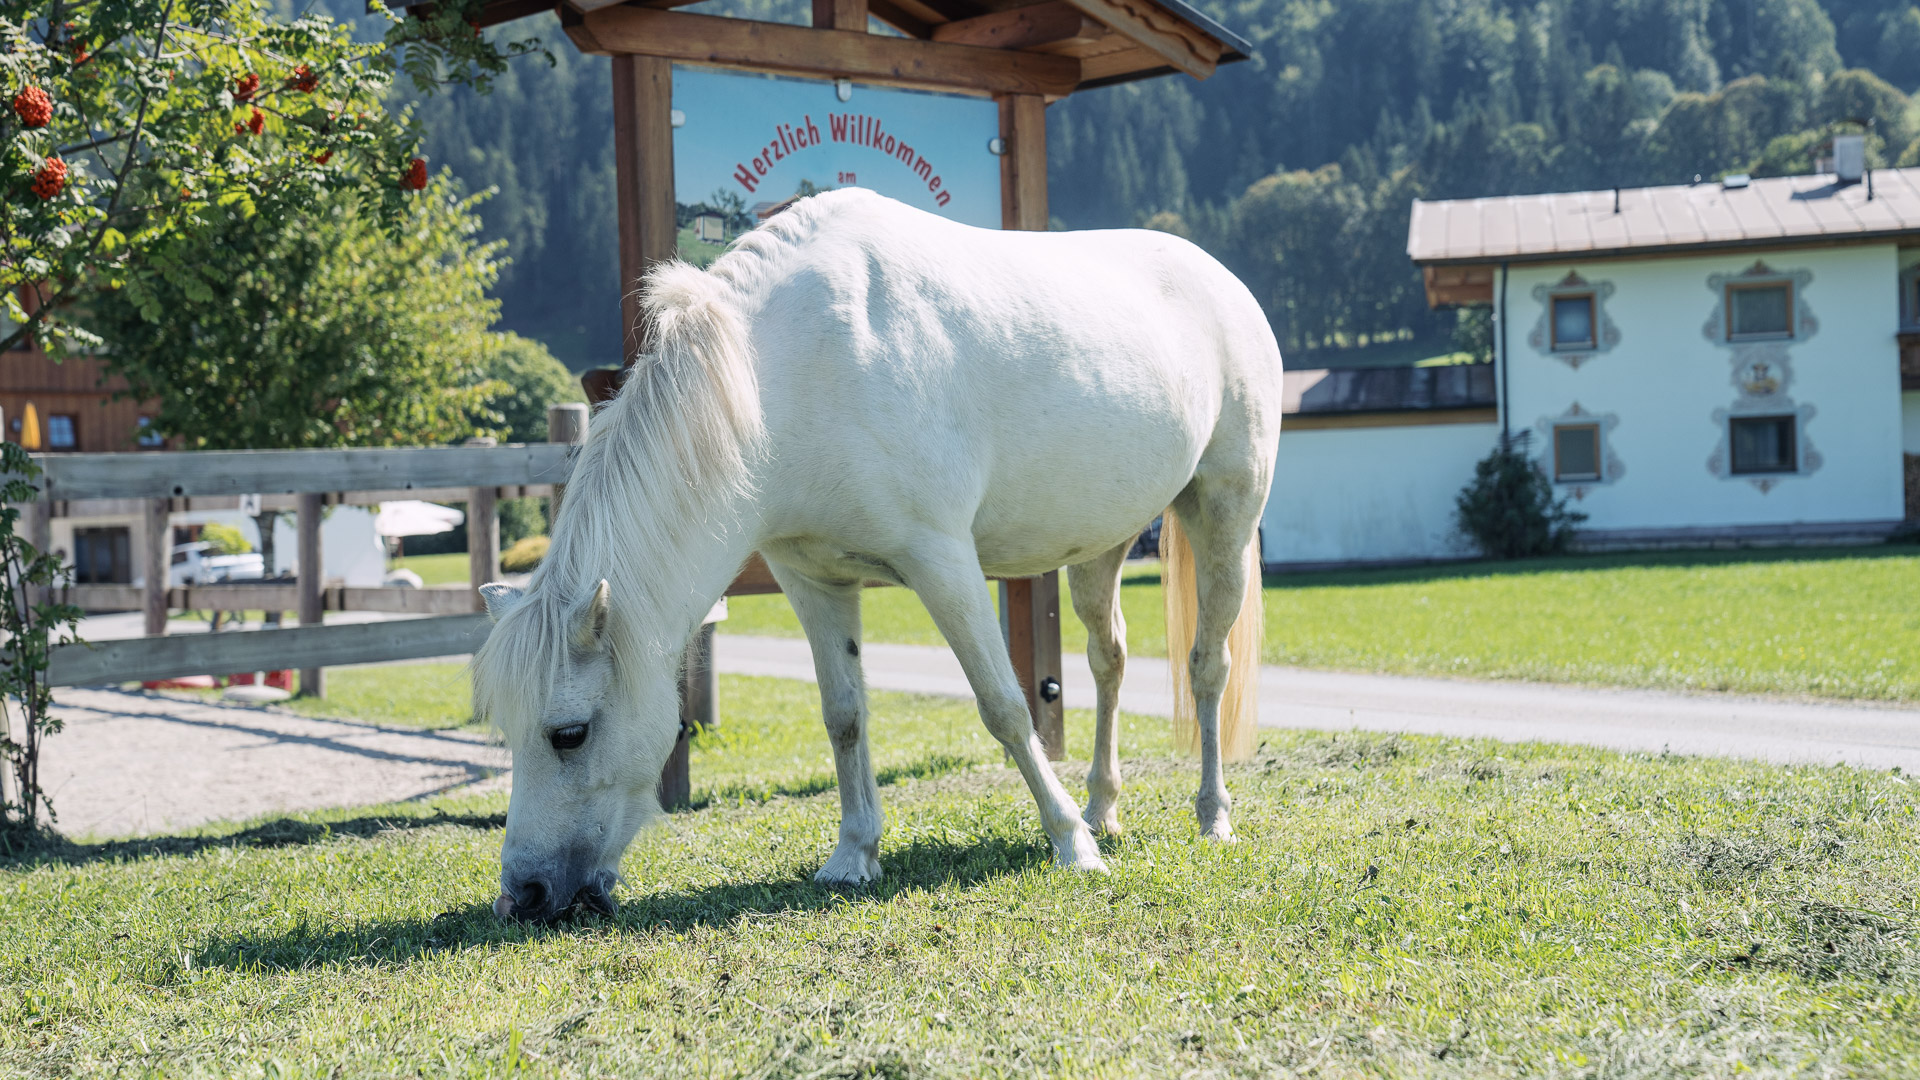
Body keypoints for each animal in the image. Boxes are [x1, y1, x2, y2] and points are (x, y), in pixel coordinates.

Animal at [473, 189, 1282, 921]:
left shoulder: (943, 561)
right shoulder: (811, 579)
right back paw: (1104, 809)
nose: (524, 896)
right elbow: (845, 716)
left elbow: (1004, 705)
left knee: (1207, 667)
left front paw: (1068, 844)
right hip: (1101, 544)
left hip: (1226, 512)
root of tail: (1227, 283)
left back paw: (1210, 815)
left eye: (569, 734)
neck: (781, 375)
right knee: (1108, 660)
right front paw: (855, 852)